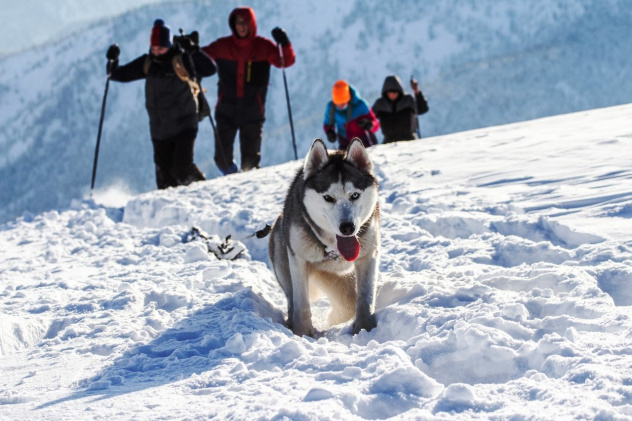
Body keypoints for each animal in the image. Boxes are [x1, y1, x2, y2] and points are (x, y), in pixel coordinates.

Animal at [268, 139, 378, 336]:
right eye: (328, 198)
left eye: (355, 195)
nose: (348, 227)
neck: (333, 246)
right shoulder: (298, 260)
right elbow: (301, 304)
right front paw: (303, 333)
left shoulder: (368, 256)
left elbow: (365, 298)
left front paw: (364, 328)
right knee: (292, 300)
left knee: (349, 303)